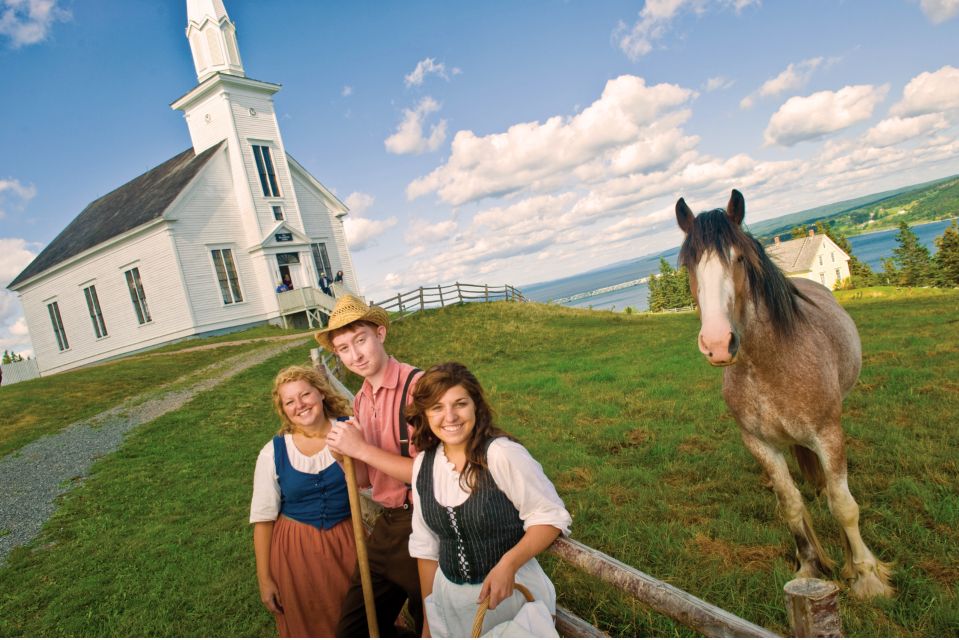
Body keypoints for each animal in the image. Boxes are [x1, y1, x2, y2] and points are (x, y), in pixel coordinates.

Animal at [676, 188, 892, 596]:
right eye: (689, 267)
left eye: (740, 259)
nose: (717, 343)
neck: (768, 367)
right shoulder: (759, 443)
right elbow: (790, 503)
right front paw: (810, 566)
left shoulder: (828, 434)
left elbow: (844, 505)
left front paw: (866, 575)